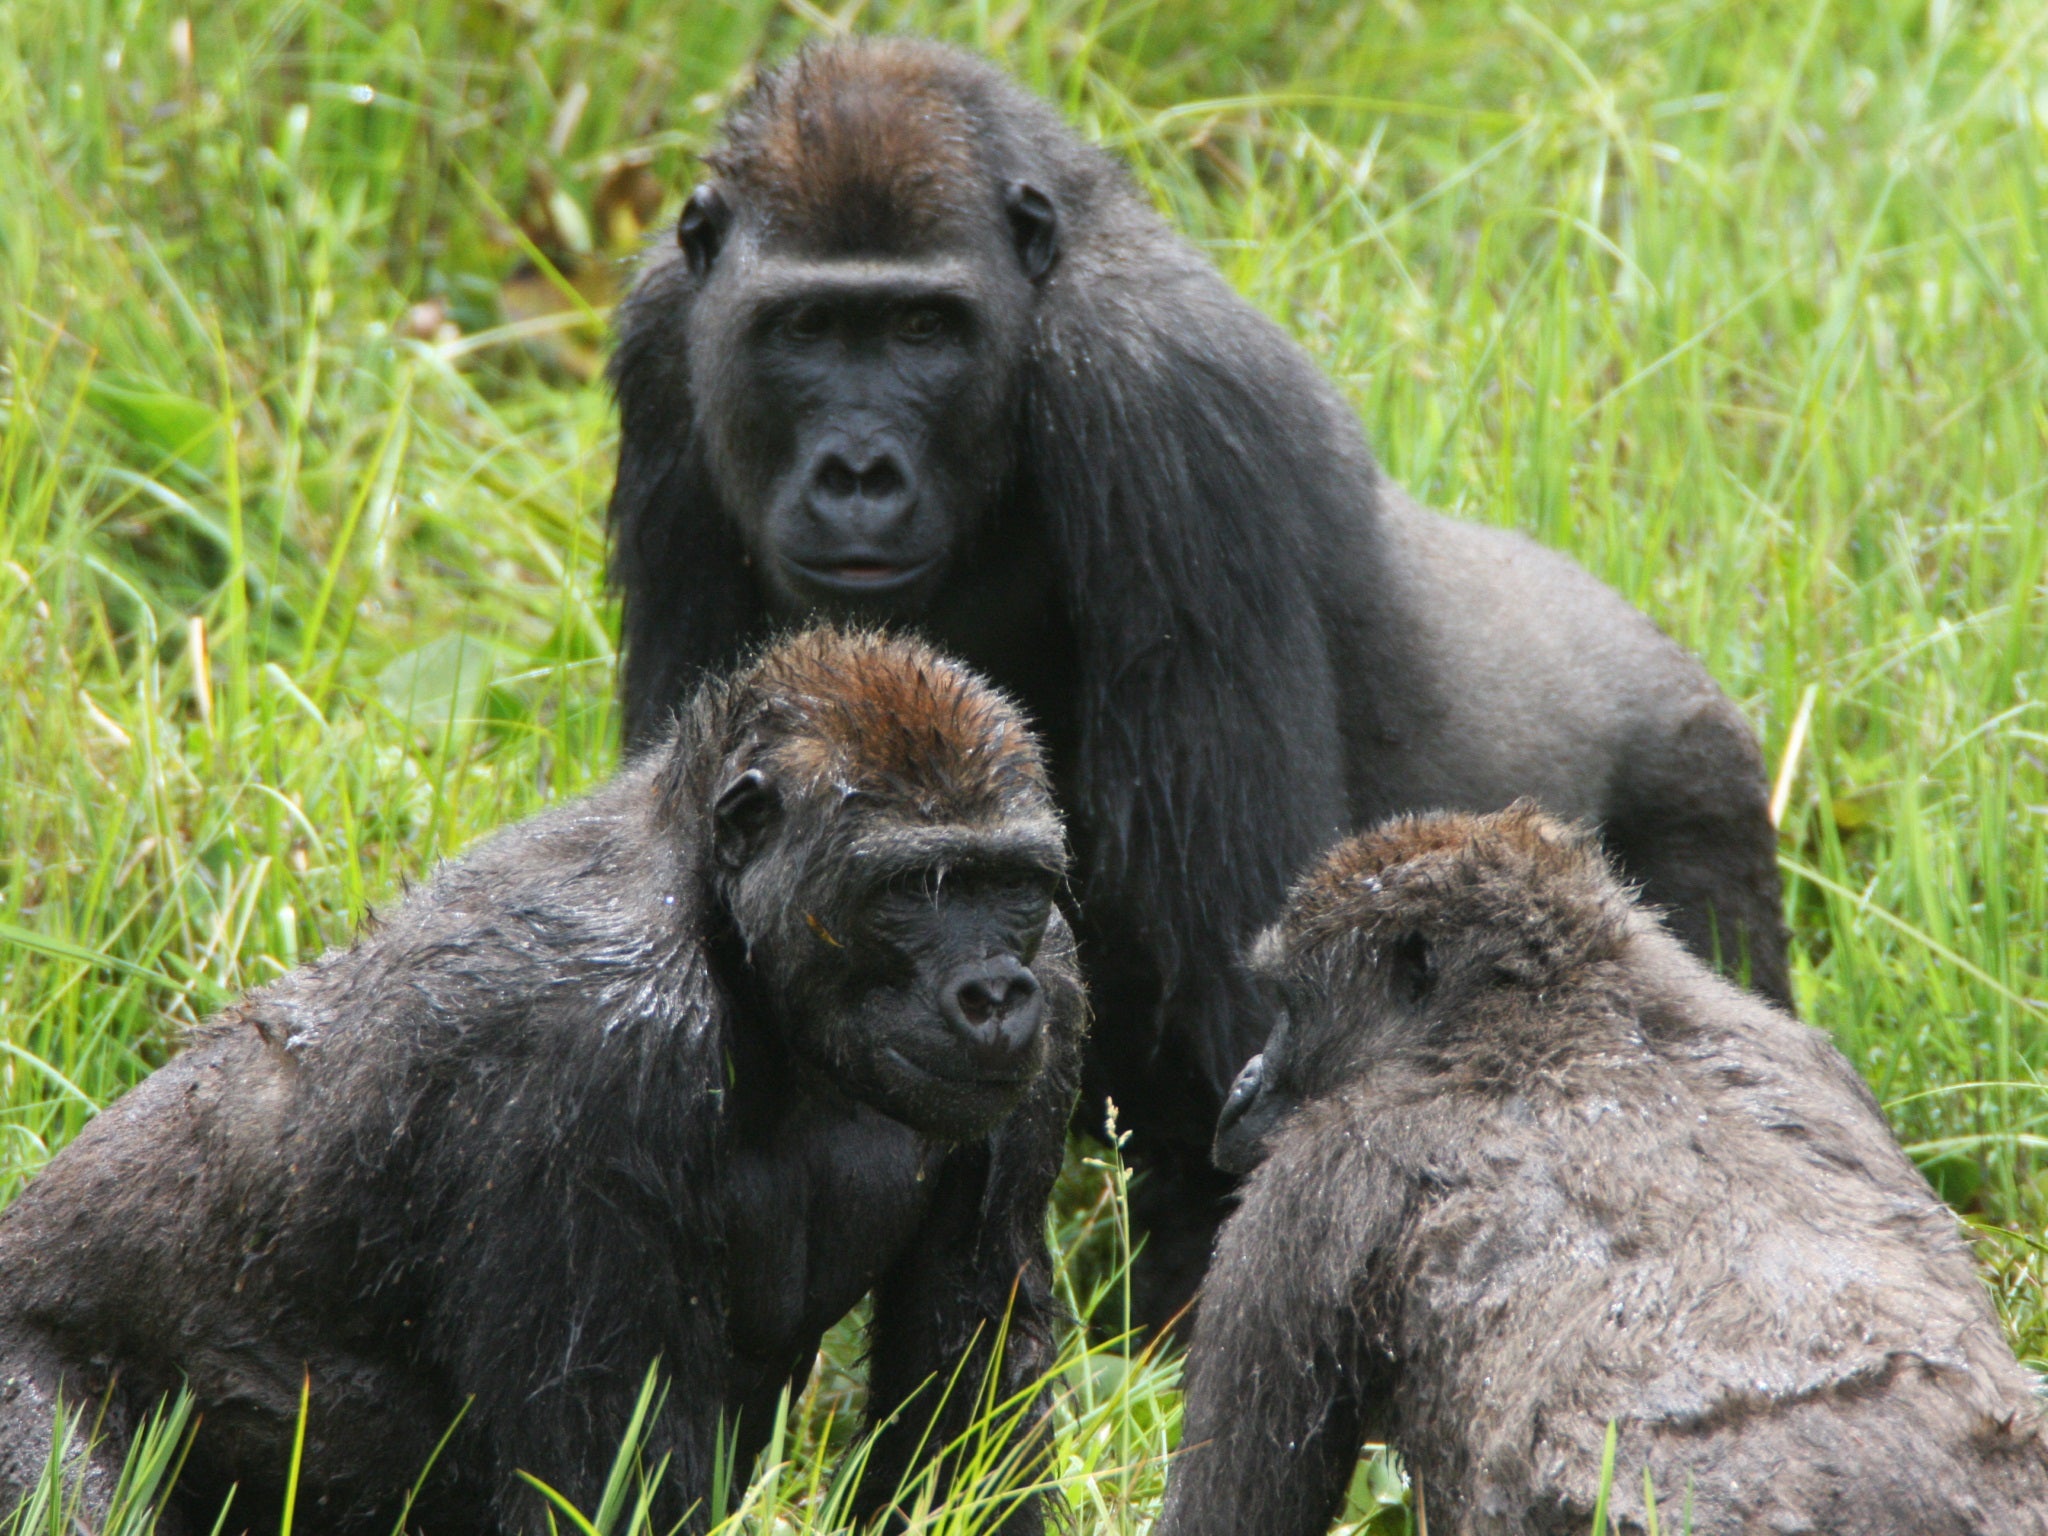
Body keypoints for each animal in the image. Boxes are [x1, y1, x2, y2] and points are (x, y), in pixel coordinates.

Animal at [0, 626, 1089, 1536]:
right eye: (914, 888)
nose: (994, 993)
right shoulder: (590, 1059)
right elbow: (604, 1476)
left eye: (1013, 885)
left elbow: (969, 1377)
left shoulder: (1061, 982)